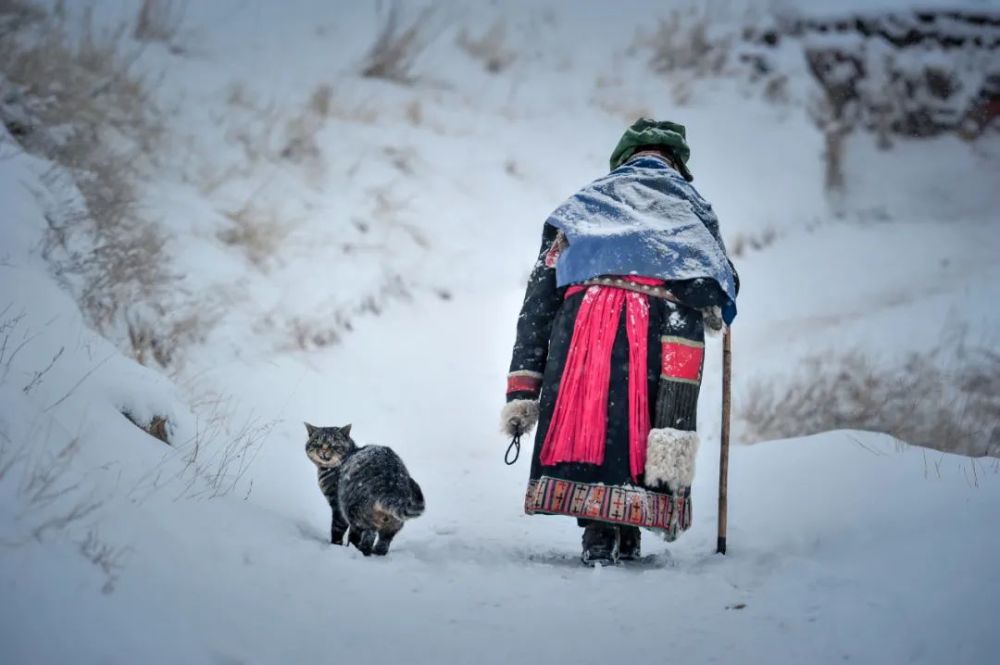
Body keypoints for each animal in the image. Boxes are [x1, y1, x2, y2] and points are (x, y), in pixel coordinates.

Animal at [302, 420, 424, 556]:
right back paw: (377, 553)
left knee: (365, 536)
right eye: (317, 443)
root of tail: (390, 483)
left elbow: (337, 530)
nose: (323, 451)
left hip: (355, 513)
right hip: (393, 524)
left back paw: (358, 551)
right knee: (383, 542)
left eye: (334, 445)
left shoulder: (338, 507)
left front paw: (335, 545)